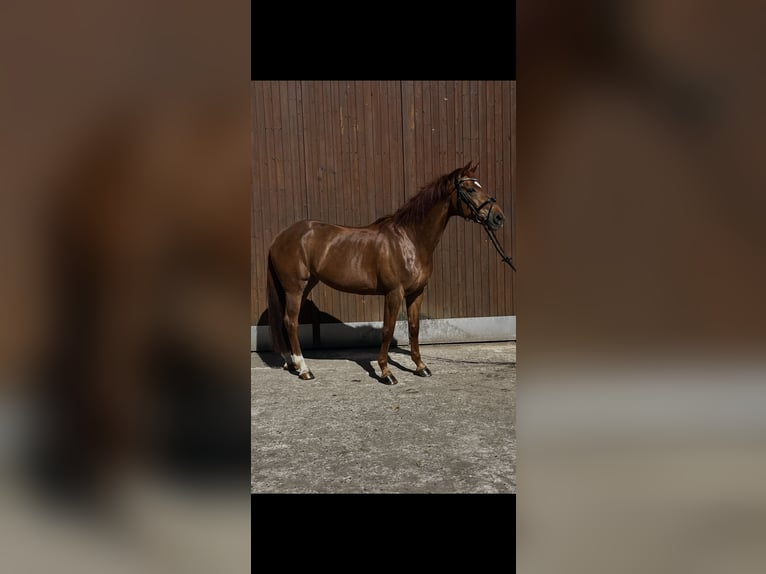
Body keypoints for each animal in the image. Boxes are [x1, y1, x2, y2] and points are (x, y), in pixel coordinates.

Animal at [267, 161, 507, 385]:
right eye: (471, 189)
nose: (498, 218)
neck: (409, 239)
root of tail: (280, 237)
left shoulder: (417, 293)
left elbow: (413, 328)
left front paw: (421, 366)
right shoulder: (394, 293)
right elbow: (388, 329)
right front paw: (386, 372)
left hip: (305, 285)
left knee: (285, 321)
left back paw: (291, 363)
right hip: (295, 288)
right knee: (290, 321)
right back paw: (304, 369)